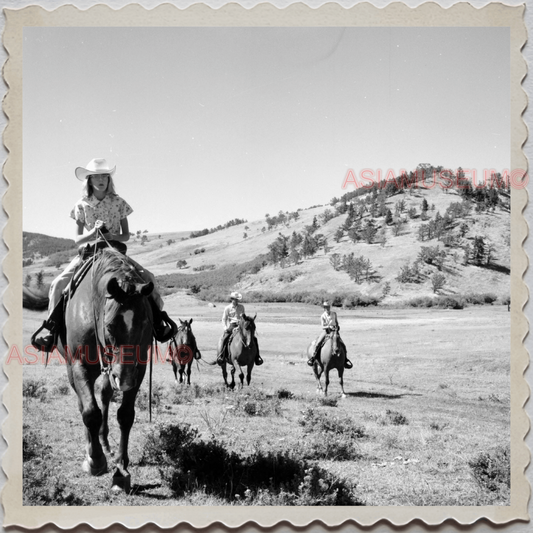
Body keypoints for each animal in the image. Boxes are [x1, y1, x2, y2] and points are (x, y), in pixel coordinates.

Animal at [58, 248, 154, 490]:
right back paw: (91, 447)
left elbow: (125, 415)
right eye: (110, 326)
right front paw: (95, 460)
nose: (124, 378)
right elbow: (90, 413)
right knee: (84, 404)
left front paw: (121, 468)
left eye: (144, 323)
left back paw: (104, 443)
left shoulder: (139, 369)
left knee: (103, 395)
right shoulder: (79, 364)